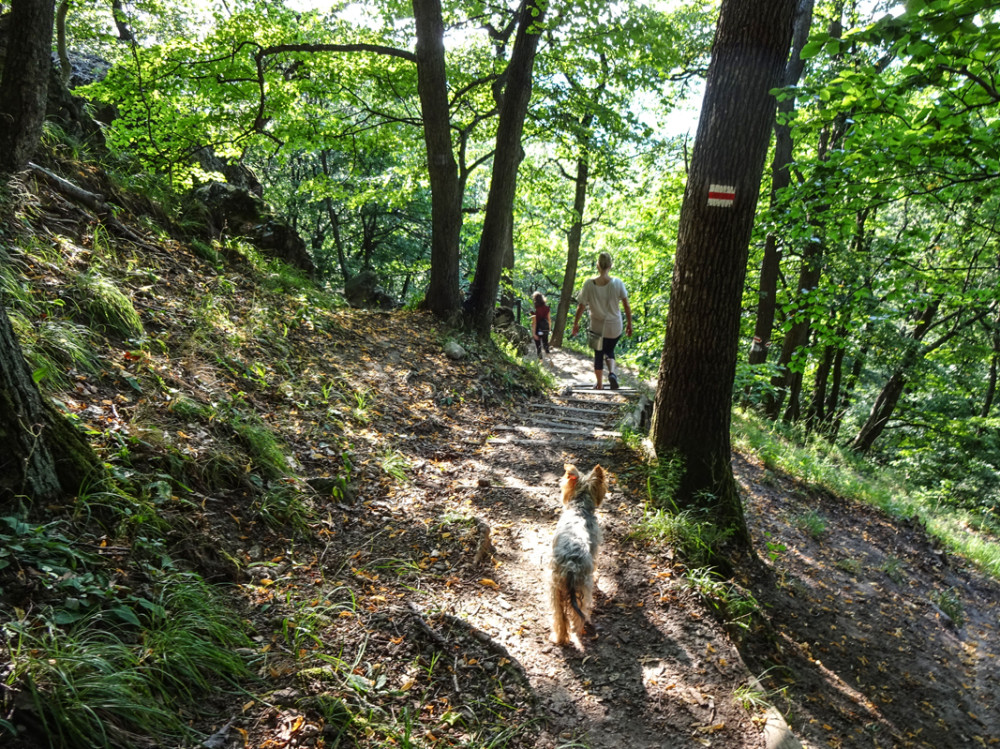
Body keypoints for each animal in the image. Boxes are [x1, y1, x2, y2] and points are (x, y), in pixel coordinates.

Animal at [552, 462, 604, 644]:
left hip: (555, 588)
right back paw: (579, 633)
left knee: (559, 616)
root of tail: (571, 566)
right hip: (584, 587)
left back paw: (560, 637)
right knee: (579, 615)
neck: (580, 507)